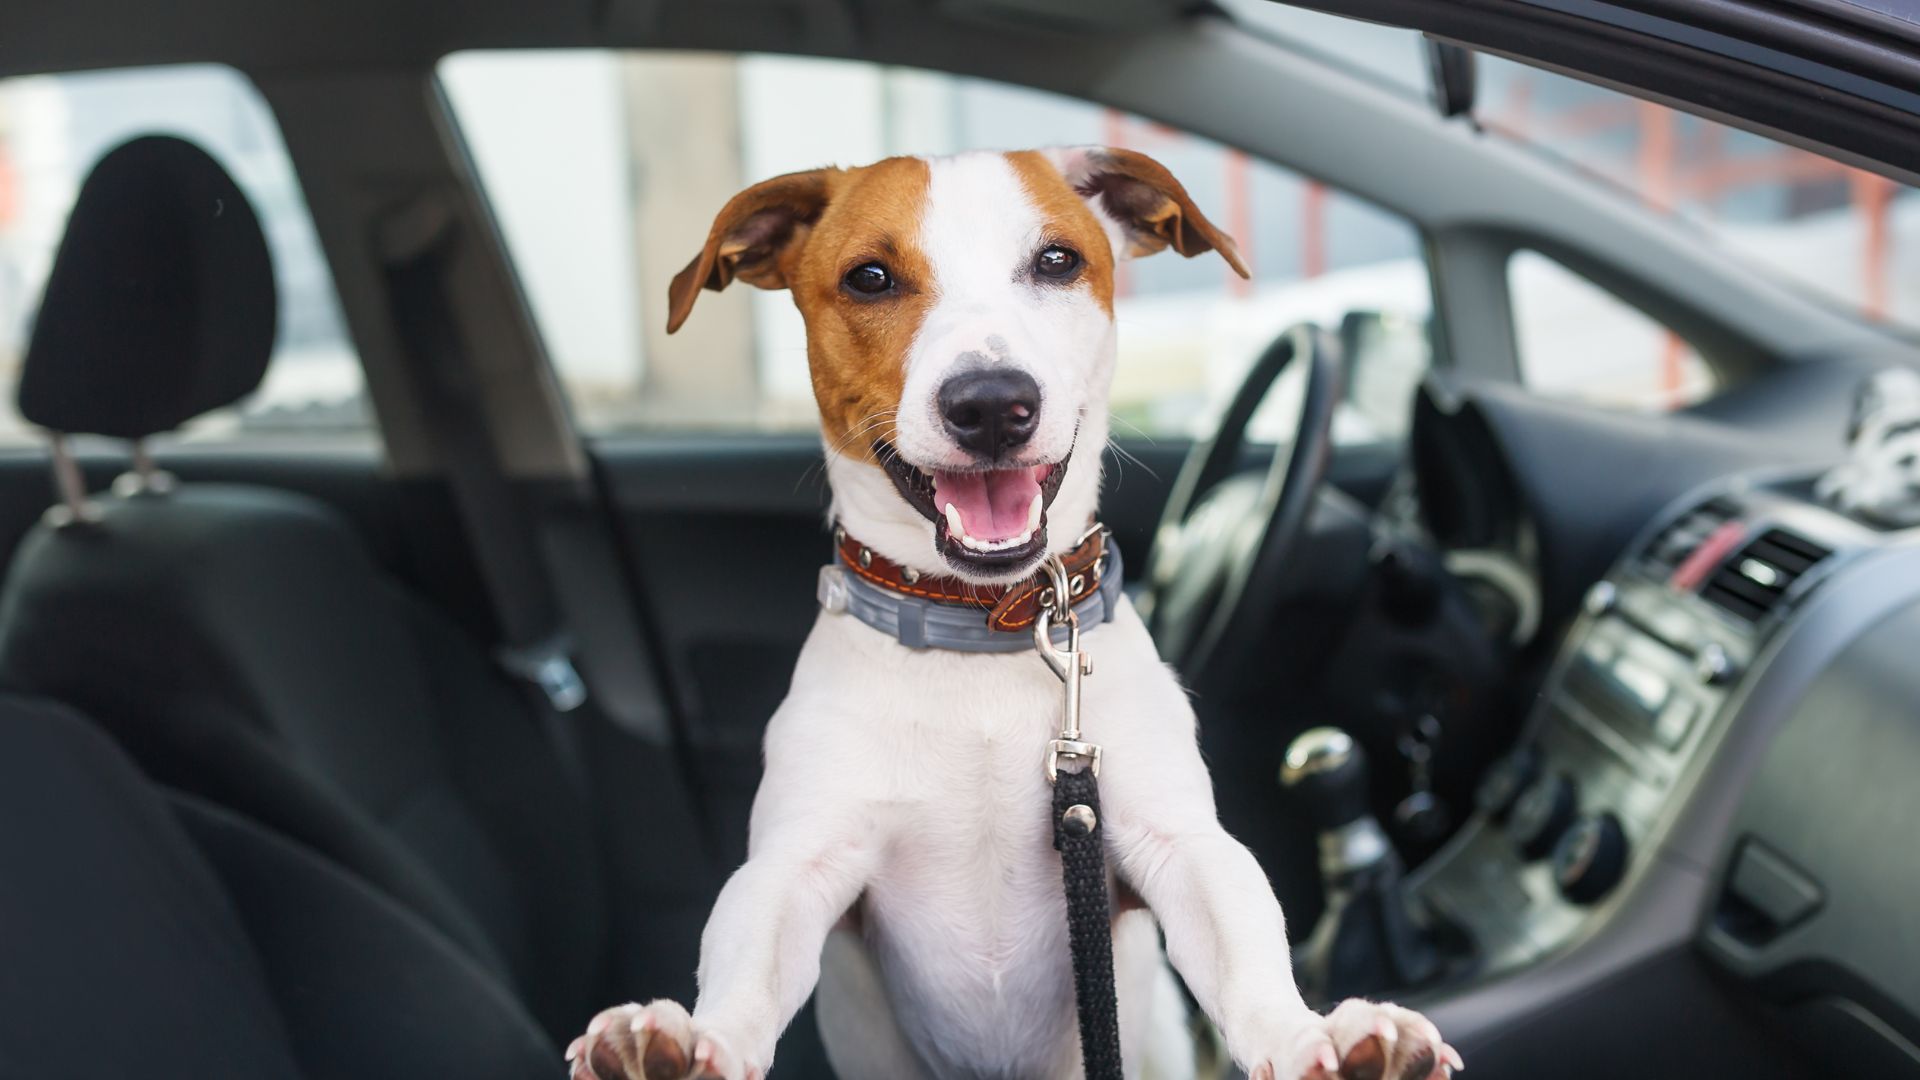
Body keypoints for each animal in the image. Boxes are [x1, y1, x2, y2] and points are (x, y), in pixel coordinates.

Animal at [560, 145, 1459, 1076]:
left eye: (1058, 261)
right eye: (870, 277)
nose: (991, 403)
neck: (980, 633)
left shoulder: (1176, 843)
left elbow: (1247, 942)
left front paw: (1320, 1035)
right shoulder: (796, 864)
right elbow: (745, 962)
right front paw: (682, 1046)